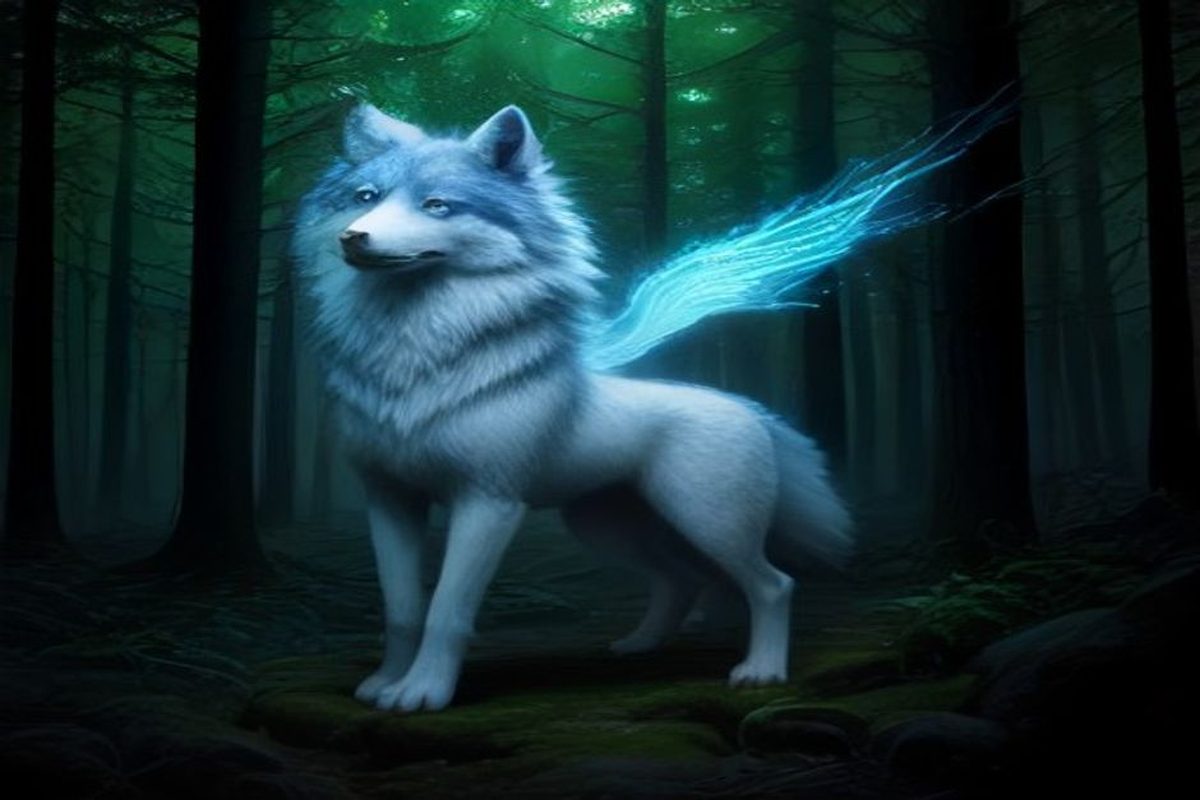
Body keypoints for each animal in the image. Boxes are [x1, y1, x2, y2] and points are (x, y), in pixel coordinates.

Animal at [292, 103, 853, 712]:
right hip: (608, 528)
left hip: (710, 523)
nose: (353, 238)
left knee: (773, 585)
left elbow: (446, 611)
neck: (412, 365)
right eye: (366, 197)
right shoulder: (389, 501)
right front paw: (384, 684)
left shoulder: (488, 503)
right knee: (681, 580)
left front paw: (421, 694)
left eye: (437, 205)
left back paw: (761, 671)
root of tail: (754, 410)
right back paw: (638, 646)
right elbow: (401, 611)